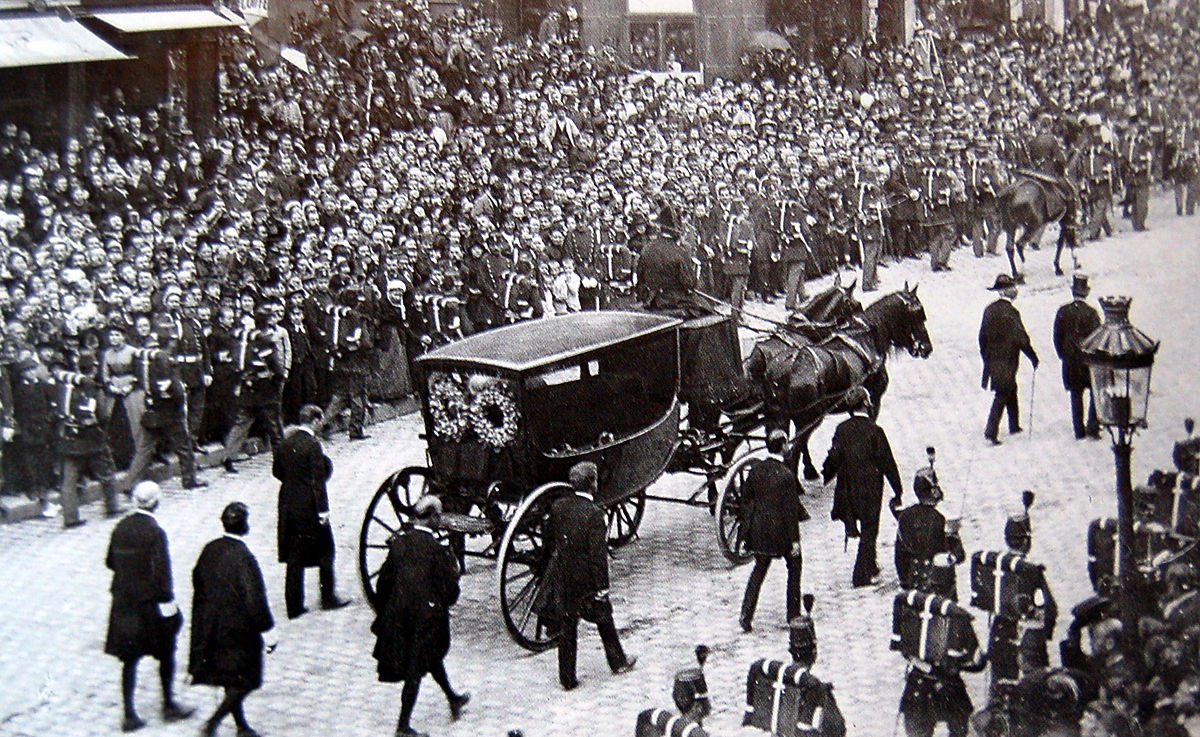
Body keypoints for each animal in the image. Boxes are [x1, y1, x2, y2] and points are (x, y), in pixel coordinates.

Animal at [744, 285, 931, 482]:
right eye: (919, 314)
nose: (927, 348)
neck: (866, 338)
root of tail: (786, 366)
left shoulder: (855, 400)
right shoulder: (874, 399)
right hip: (808, 418)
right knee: (791, 454)